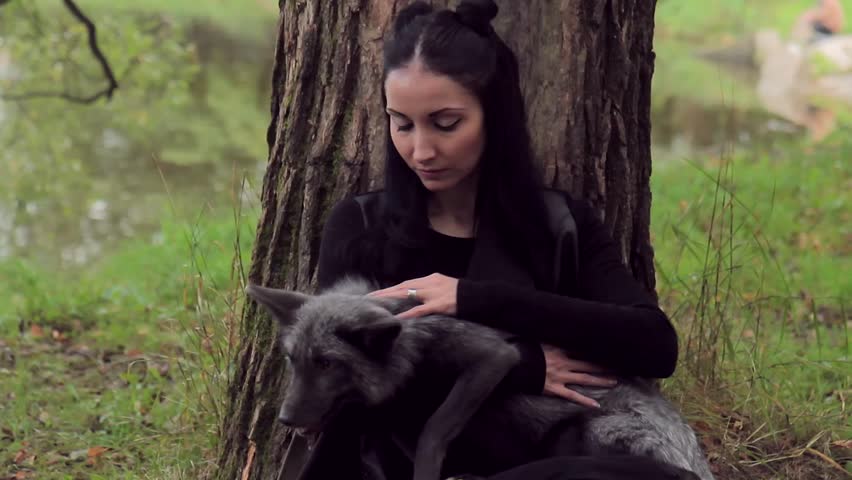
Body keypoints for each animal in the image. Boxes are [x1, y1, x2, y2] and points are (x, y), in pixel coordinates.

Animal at [245, 276, 714, 480]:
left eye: (327, 364)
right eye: (293, 361)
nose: (286, 419)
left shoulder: (492, 357)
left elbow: (436, 428)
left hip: (591, 434)